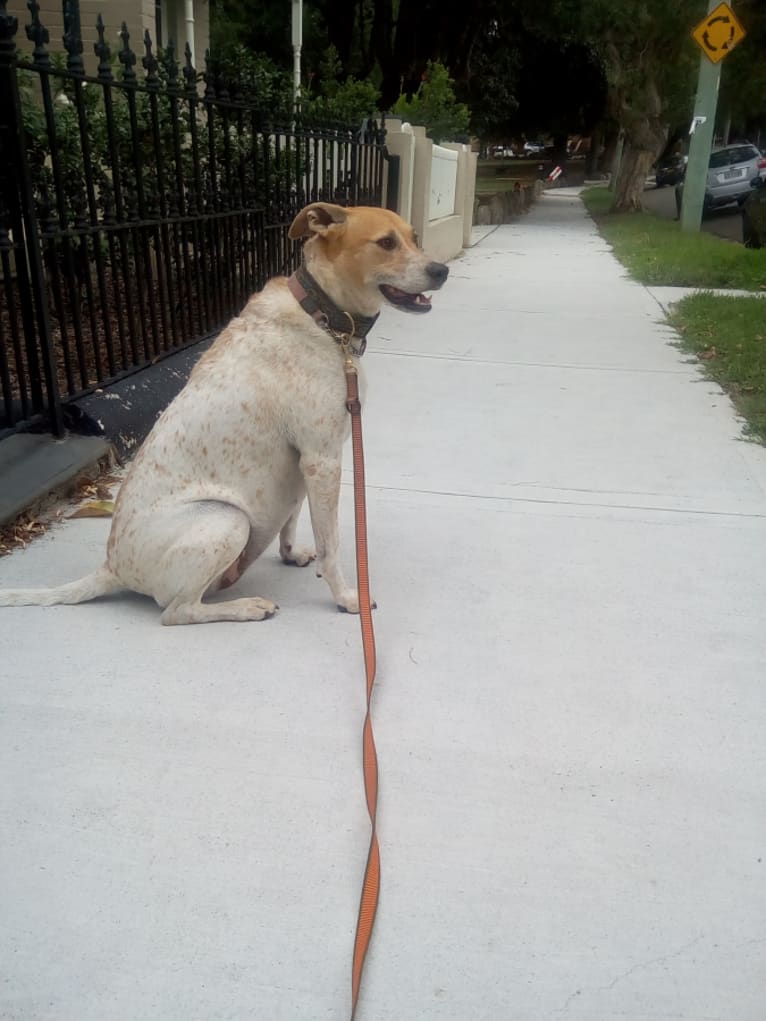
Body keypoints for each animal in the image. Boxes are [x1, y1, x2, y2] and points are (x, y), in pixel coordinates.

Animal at [0, 201, 449, 620]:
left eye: (414, 237)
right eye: (386, 243)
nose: (441, 270)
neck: (323, 317)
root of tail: (111, 568)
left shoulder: (305, 467)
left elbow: (292, 520)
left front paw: (291, 555)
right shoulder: (322, 461)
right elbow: (332, 544)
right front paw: (346, 598)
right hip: (227, 519)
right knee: (176, 612)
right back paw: (246, 607)